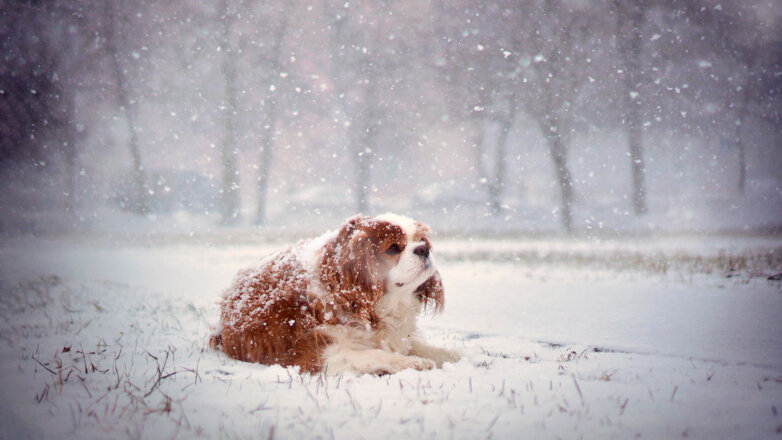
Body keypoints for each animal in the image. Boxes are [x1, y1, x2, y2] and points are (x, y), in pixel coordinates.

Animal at [211, 213, 462, 374]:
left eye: (422, 240)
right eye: (393, 248)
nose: (424, 249)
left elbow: (422, 347)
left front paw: (455, 356)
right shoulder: (313, 356)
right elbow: (374, 354)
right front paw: (412, 362)